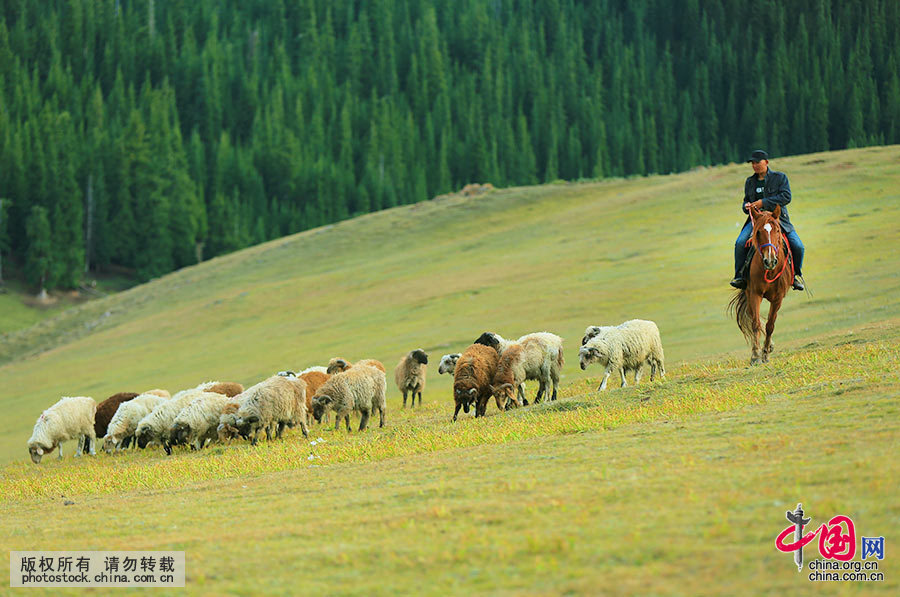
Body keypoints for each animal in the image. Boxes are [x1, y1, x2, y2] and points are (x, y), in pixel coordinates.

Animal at [732, 204, 796, 364]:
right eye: (759, 232)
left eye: (778, 230)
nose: (770, 260)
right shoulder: (754, 294)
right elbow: (756, 323)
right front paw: (755, 355)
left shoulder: (778, 298)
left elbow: (770, 325)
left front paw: (765, 353)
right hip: (748, 293)